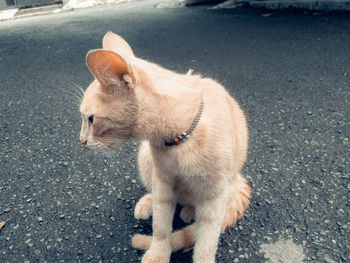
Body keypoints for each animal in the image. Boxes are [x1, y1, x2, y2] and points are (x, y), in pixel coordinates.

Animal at [78, 31, 252, 263]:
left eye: (90, 119)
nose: (81, 140)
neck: (180, 136)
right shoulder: (162, 180)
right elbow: (160, 226)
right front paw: (158, 252)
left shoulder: (215, 195)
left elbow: (206, 241)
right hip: (144, 158)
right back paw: (147, 204)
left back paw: (189, 211)